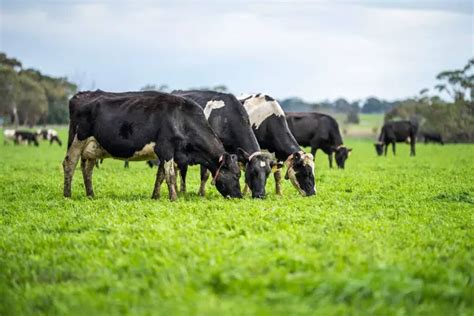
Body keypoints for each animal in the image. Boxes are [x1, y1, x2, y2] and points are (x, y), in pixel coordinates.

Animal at [64, 90, 241, 201]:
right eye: (236, 175)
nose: (239, 196)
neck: (181, 119)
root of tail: (80, 95)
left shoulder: (164, 153)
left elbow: (160, 175)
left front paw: (155, 196)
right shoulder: (166, 148)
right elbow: (170, 176)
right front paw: (174, 198)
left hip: (93, 147)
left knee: (87, 170)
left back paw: (91, 195)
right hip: (77, 139)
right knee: (69, 164)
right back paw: (67, 195)